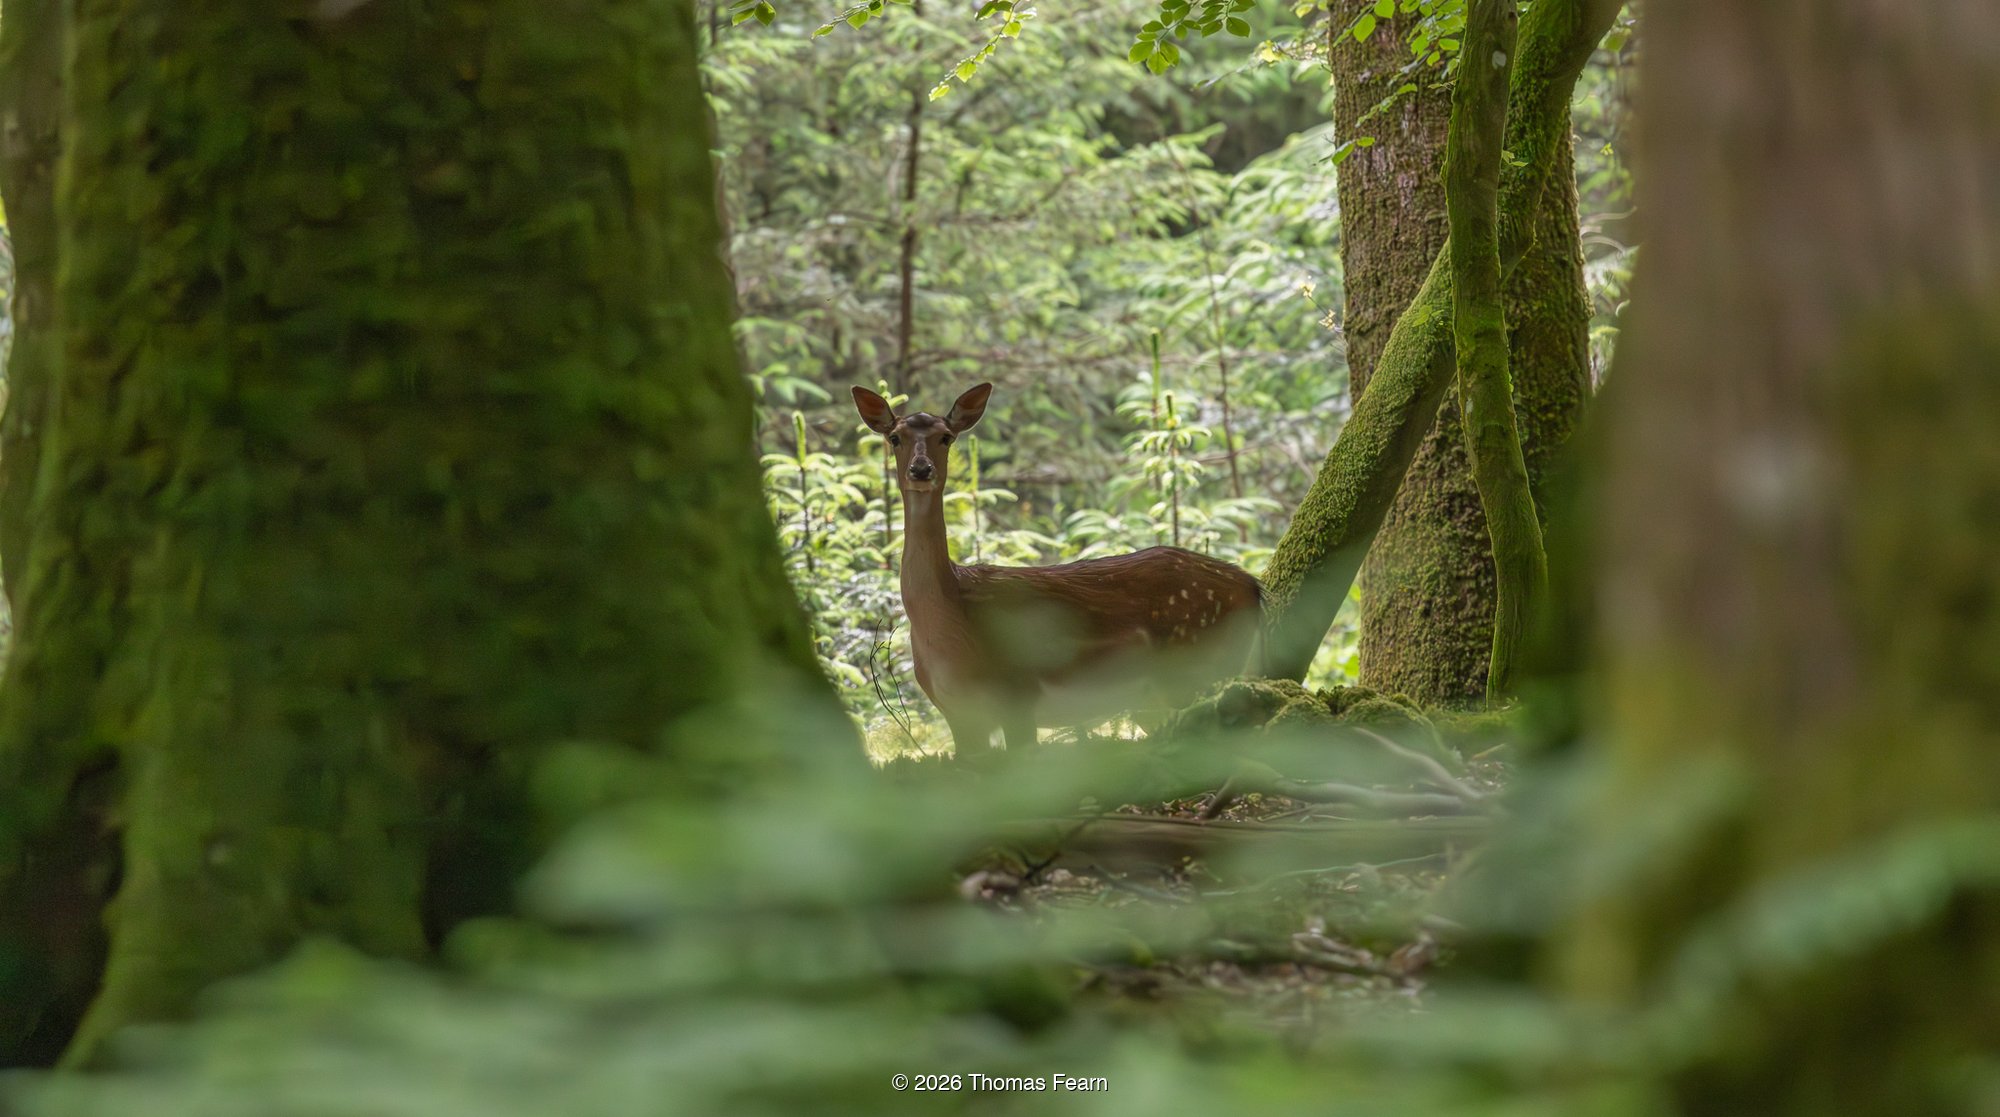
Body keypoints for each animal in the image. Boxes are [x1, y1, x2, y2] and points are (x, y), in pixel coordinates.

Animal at [854, 382, 1264, 756]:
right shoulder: (956, 713)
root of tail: (1252, 586)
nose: (921, 470)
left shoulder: (1017, 693)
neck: (945, 625)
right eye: (894, 437)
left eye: (946, 437)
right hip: (1160, 696)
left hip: (1196, 668)